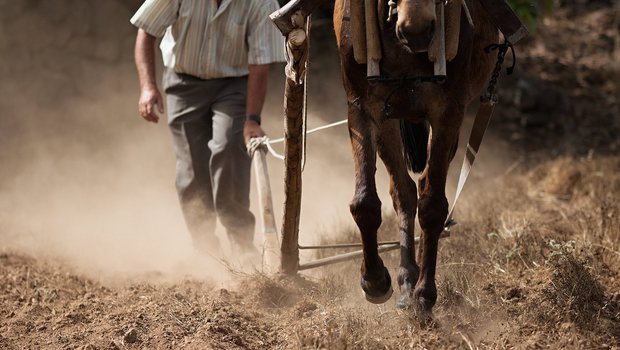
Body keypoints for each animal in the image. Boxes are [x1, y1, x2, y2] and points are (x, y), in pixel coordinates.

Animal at [334, 0, 498, 316]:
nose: (417, 29)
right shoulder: (361, 105)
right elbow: (365, 202)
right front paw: (374, 280)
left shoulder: (448, 110)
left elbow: (433, 206)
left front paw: (425, 294)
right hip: (390, 119)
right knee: (403, 191)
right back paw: (406, 277)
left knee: (421, 187)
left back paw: (415, 282)